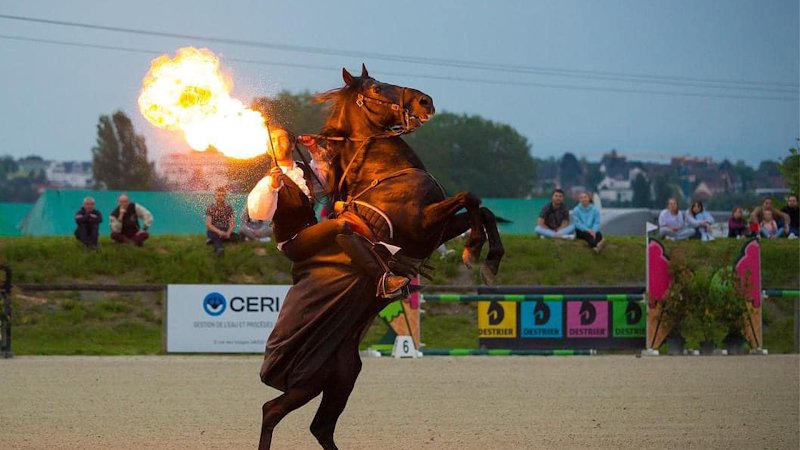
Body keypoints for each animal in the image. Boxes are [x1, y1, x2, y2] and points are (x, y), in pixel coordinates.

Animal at [258, 64, 504, 449]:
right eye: (375, 88)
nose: (425, 100)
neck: (383, 173)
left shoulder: (436, 229)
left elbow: (483, 208)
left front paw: (489, 260)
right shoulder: (422, 224)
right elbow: (471, 197)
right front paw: (474, 249)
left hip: (341, 373)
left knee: (319, 426)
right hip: (308, 380)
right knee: (273, 411)